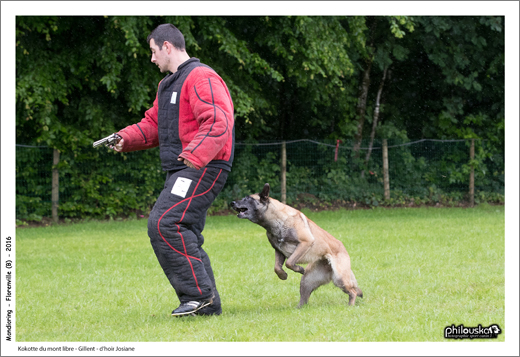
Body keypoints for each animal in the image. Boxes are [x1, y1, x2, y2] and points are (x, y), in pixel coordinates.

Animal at [230, 184, 364, 306]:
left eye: (248, 199)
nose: (232, 203)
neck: (278, 221)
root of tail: (343, 248)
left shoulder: (305, 243)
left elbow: (289, 262)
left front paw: (298, 269)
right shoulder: (278, 250)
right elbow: (277, 267)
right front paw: (283, 275)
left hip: (339, 278)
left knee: (353, 292)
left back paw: (350, 305)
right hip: (307, 281)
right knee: (304, 298)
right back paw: (299, 308)